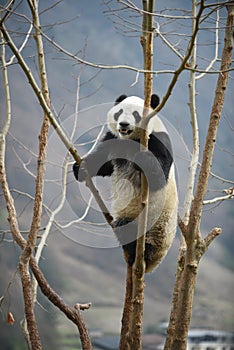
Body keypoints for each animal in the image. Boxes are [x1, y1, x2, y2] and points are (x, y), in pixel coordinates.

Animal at [73, 94, 177, 272]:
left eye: (136, 114)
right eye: (119, 112)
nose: (123, 124)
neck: (131, 139)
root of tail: (153, 264)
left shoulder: (158, 140)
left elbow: (159, 177)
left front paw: (141, 160)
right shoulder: (114, 139)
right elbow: (104, 163)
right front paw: (80, 168)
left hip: (155, 227)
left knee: (129, 228)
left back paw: (132, 247)